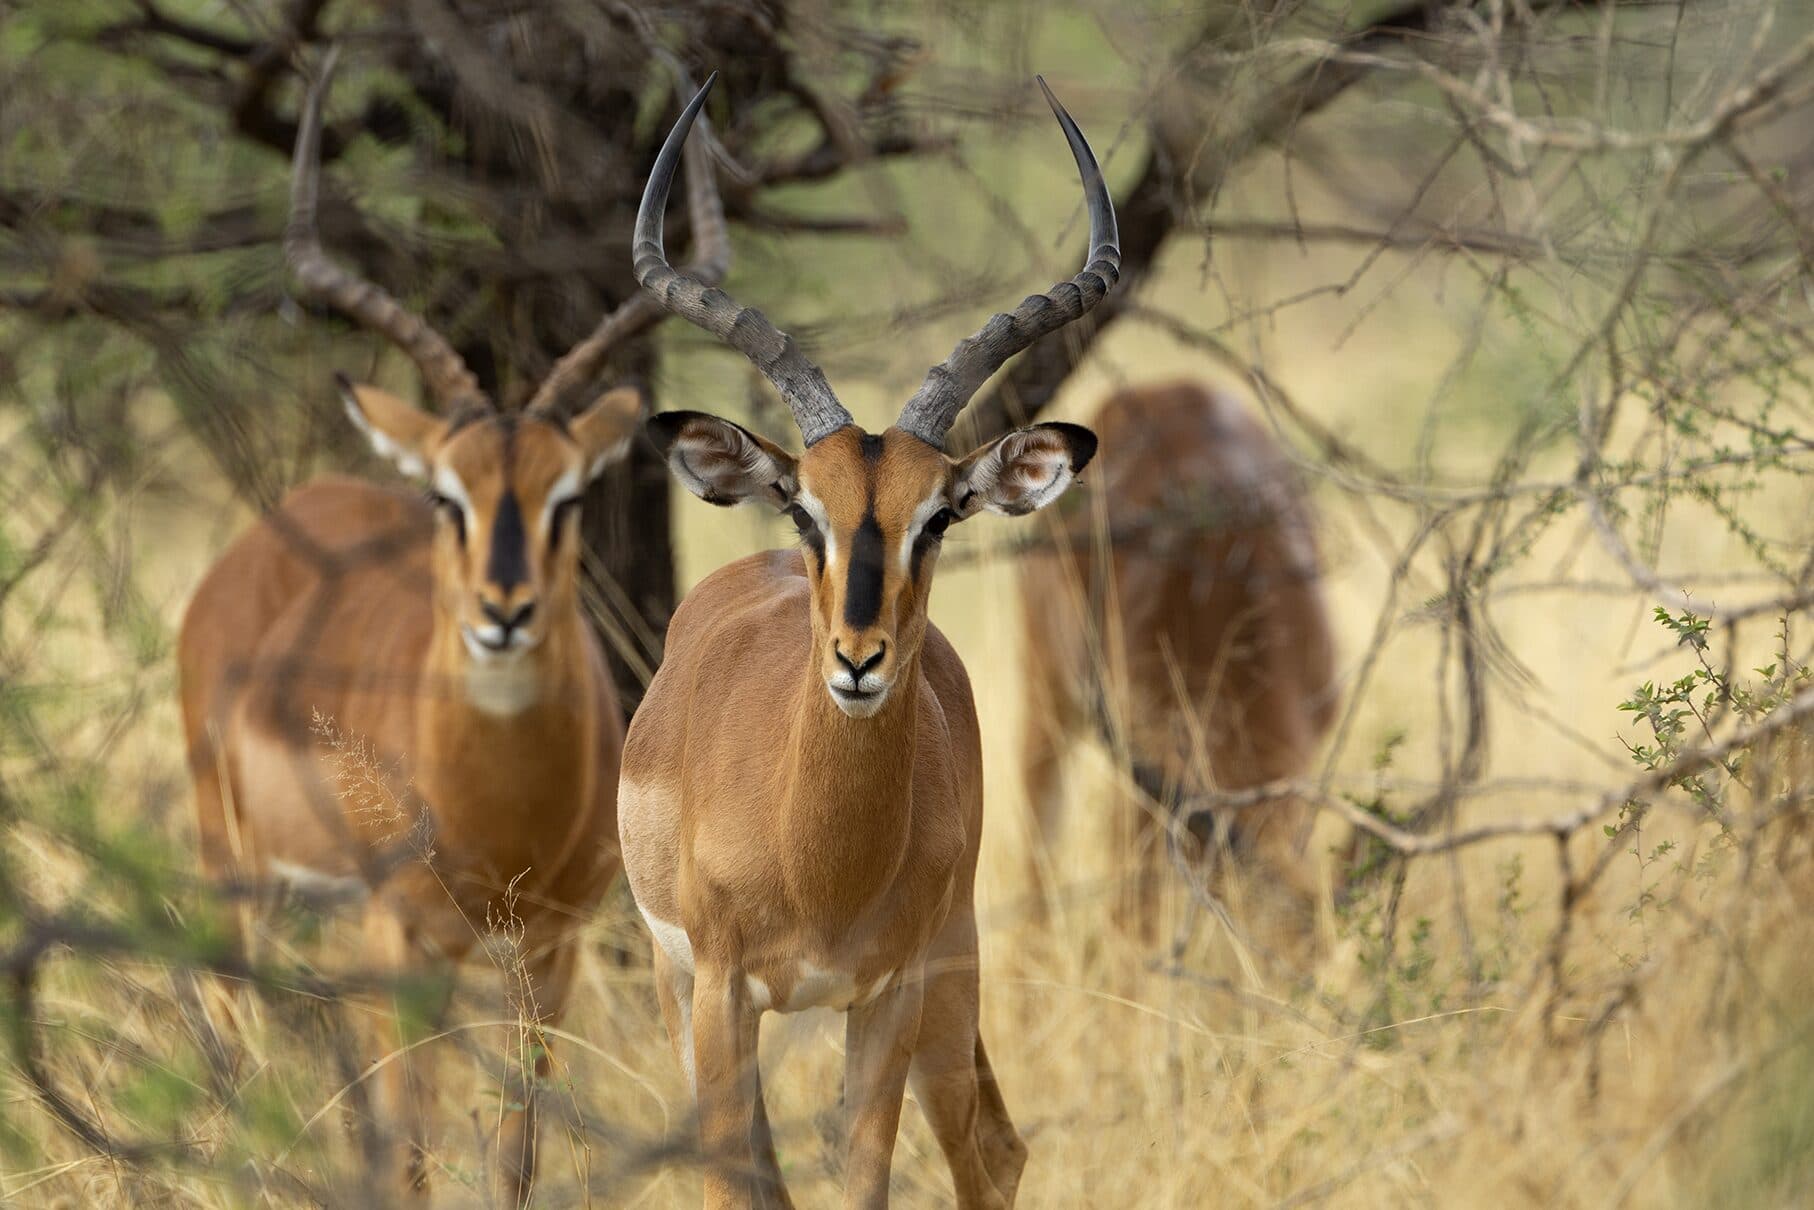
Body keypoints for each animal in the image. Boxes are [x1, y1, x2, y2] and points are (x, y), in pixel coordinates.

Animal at [176, 52, 725, 1202]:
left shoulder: (549, 954)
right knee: (235, 1041)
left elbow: (516, 1147)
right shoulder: (406, 944)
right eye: (446, 496)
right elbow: (413, 1152)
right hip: (239, 877)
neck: (498, 808)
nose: (502, 615)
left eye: (568, 496)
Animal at [617, 76, 1117, 1207]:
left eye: (939, 515)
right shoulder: (719, 992)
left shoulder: (884, 996)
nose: (858, 659)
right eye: (805, 507)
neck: (816, 859)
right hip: (684, 990)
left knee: (993, 1146)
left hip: (953, 968)